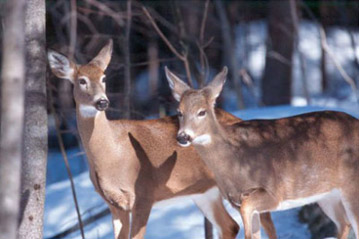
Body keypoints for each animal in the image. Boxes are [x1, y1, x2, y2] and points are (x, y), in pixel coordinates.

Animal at [46, 39, 280, 239]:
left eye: (104, 78)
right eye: (82, 81)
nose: (102, 102)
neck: (113, 155)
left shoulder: (144, 195)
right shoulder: (114, 204)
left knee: (266, 220)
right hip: (205, 192)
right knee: (230, 226)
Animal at [167, 66, 358, 239]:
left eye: (202, 112)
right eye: (179, 112)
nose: (183, 136)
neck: (234, 162)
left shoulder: (273, 193)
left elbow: (249, 226)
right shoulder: (237, 201)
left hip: (351, 185)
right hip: (327, 194)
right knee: (344, 223)